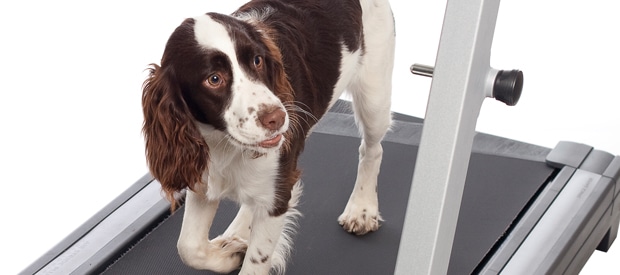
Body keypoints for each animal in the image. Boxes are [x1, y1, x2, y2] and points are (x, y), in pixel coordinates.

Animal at [142, 0, 392, 274]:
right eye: (214, 79)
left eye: (257, 61)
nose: (278, 118)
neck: (224, 142)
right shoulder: (201, 178)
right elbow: (189, 247)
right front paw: (230, 253)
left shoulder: (279, 194)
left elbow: (255, 260)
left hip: (374, 97)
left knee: (372, 150)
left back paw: (362, 209)